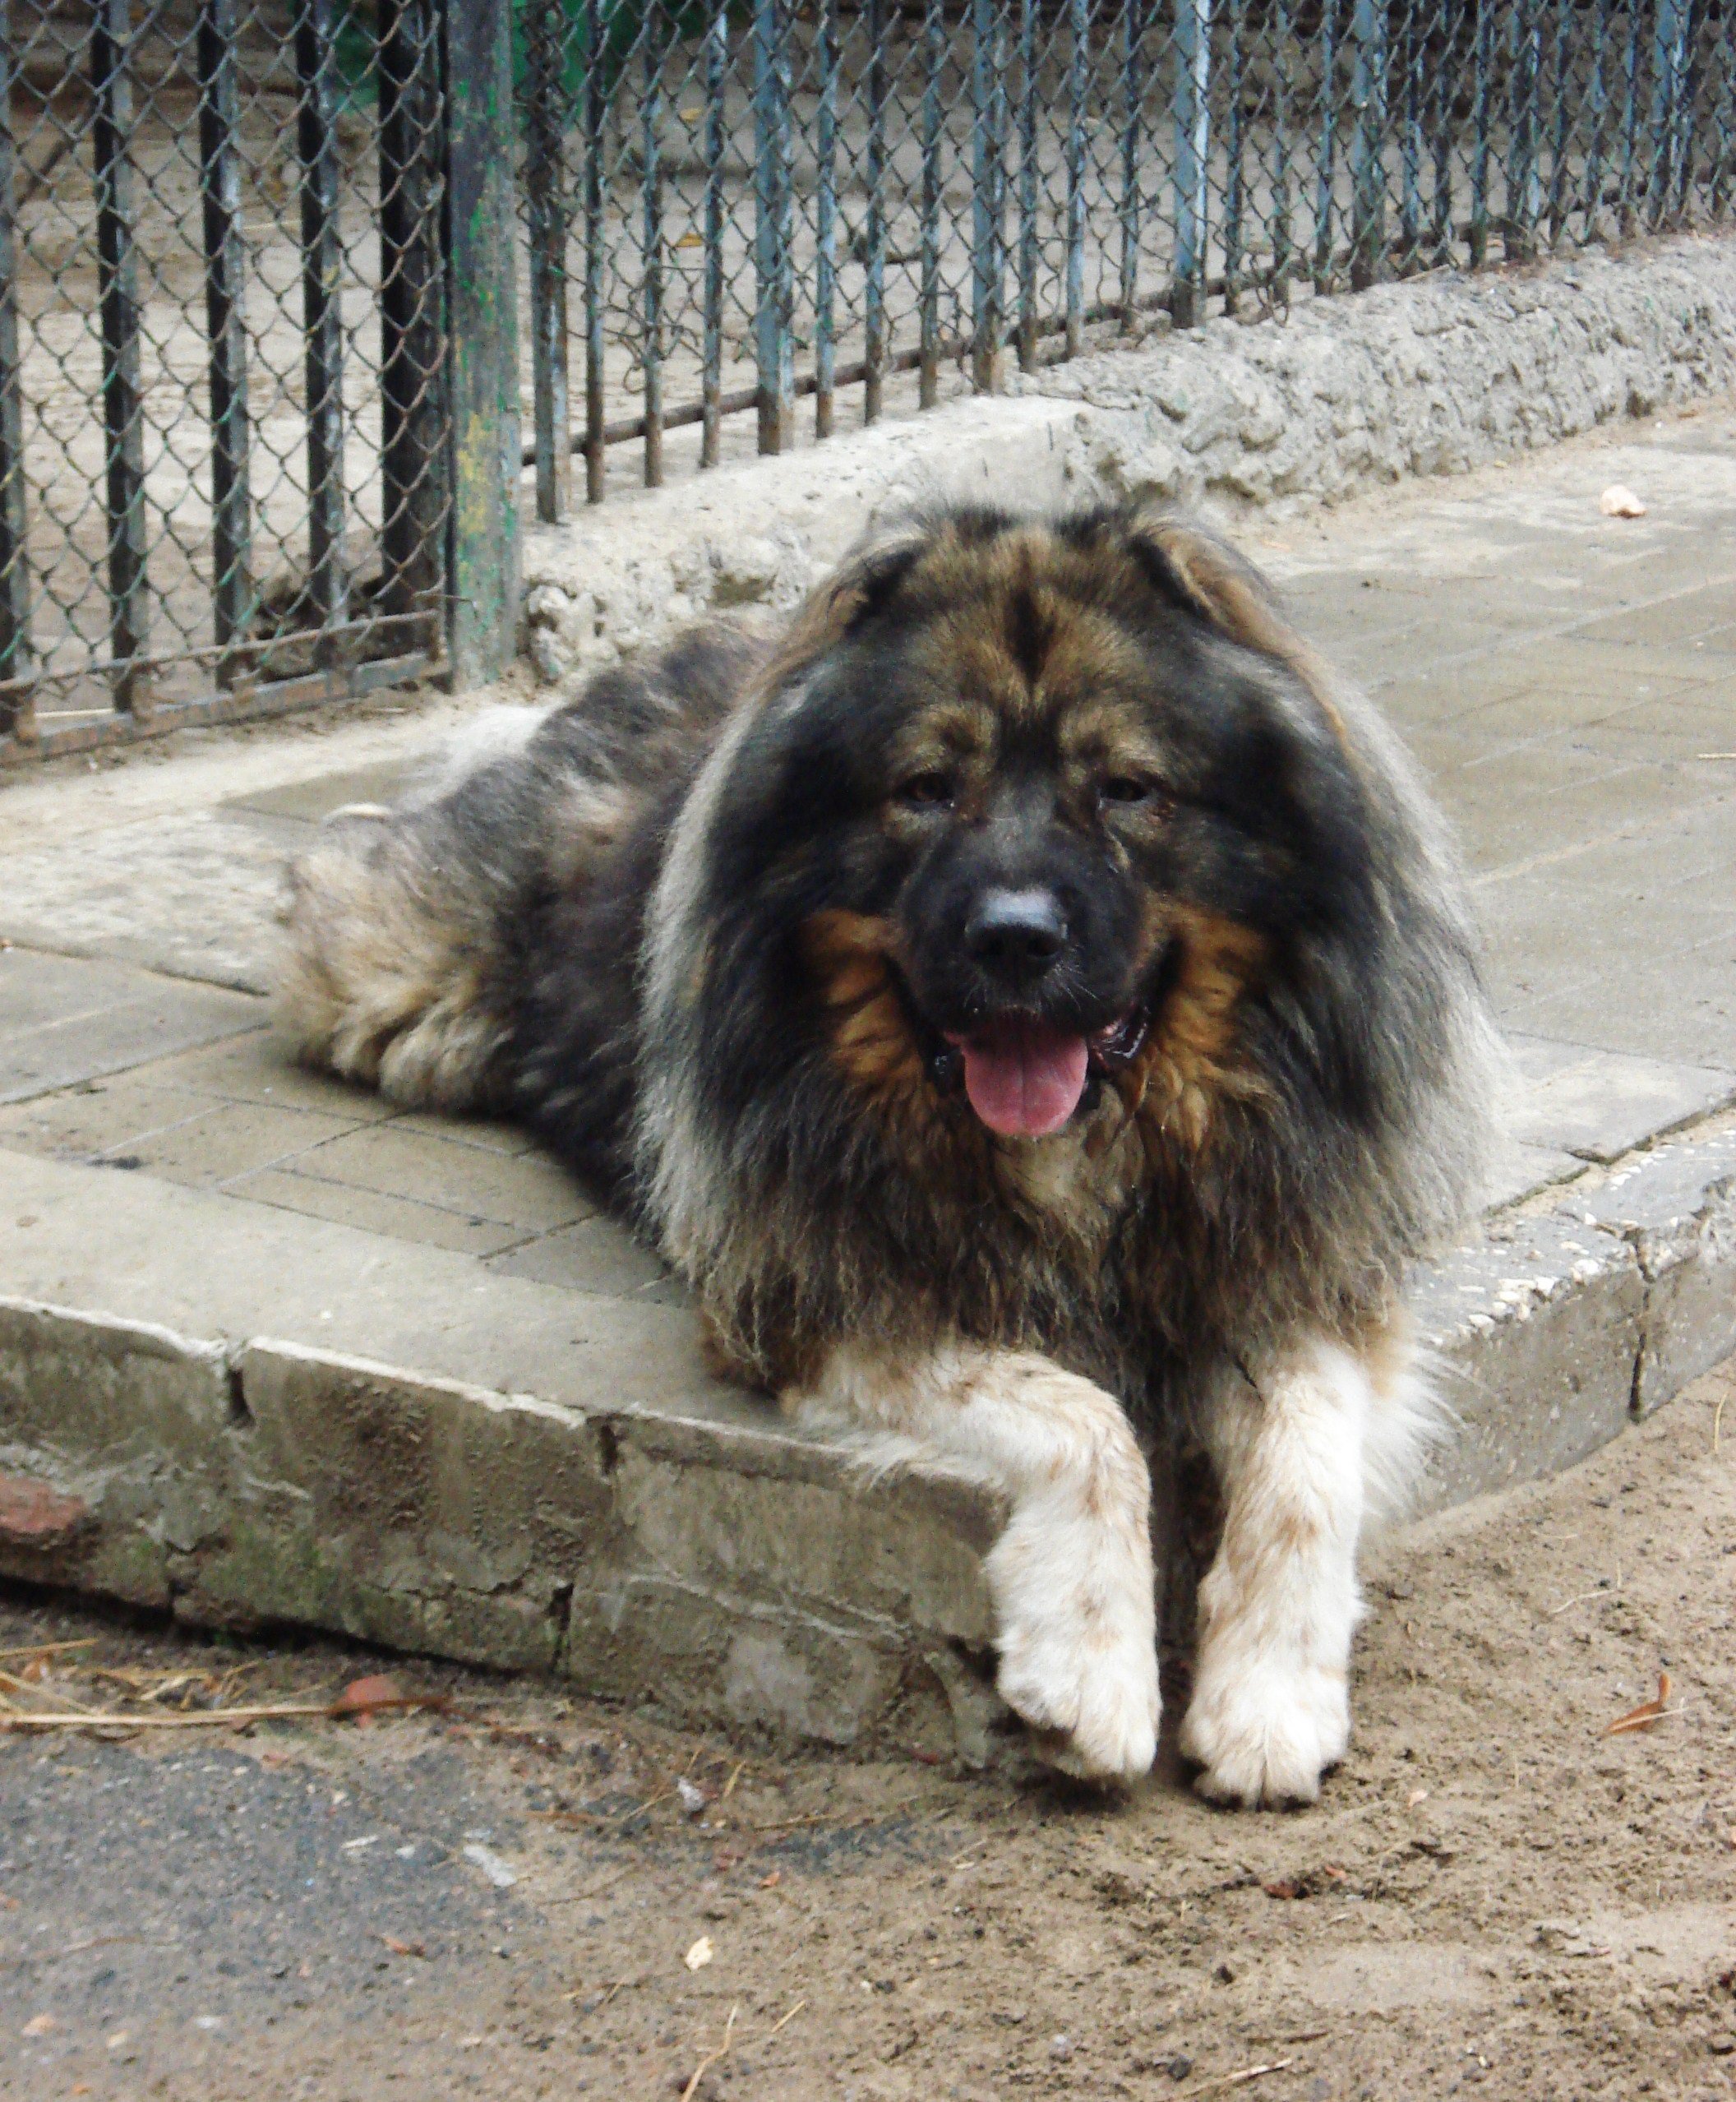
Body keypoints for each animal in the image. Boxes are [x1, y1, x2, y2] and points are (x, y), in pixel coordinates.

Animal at [277, 504, 1496, 1808]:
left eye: (1126, 788)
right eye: (927, 788)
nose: (1016, 939)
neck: (1088, 1148)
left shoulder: (1292, 1261)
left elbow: (1307, 1469)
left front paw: (1270, 1700)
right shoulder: (829, 1288)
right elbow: (1085, 1423)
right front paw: (1091, 1678)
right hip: (398, 982)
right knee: (333, 873)